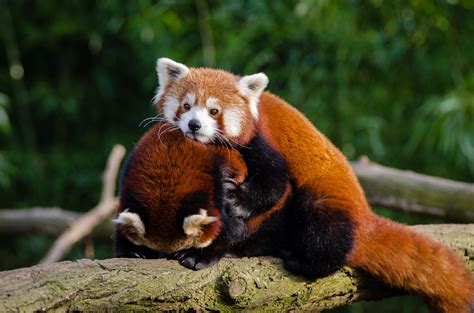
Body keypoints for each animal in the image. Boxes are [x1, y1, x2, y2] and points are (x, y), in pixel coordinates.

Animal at [154, 58, 472, 312]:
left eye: (214, 111)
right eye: (186, 106)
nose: (194, 125)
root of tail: (364, 214)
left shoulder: (262, 140)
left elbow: (273, 183)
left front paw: (237, 201)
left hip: (324, 202)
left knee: (325, 229)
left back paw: (302, 261)